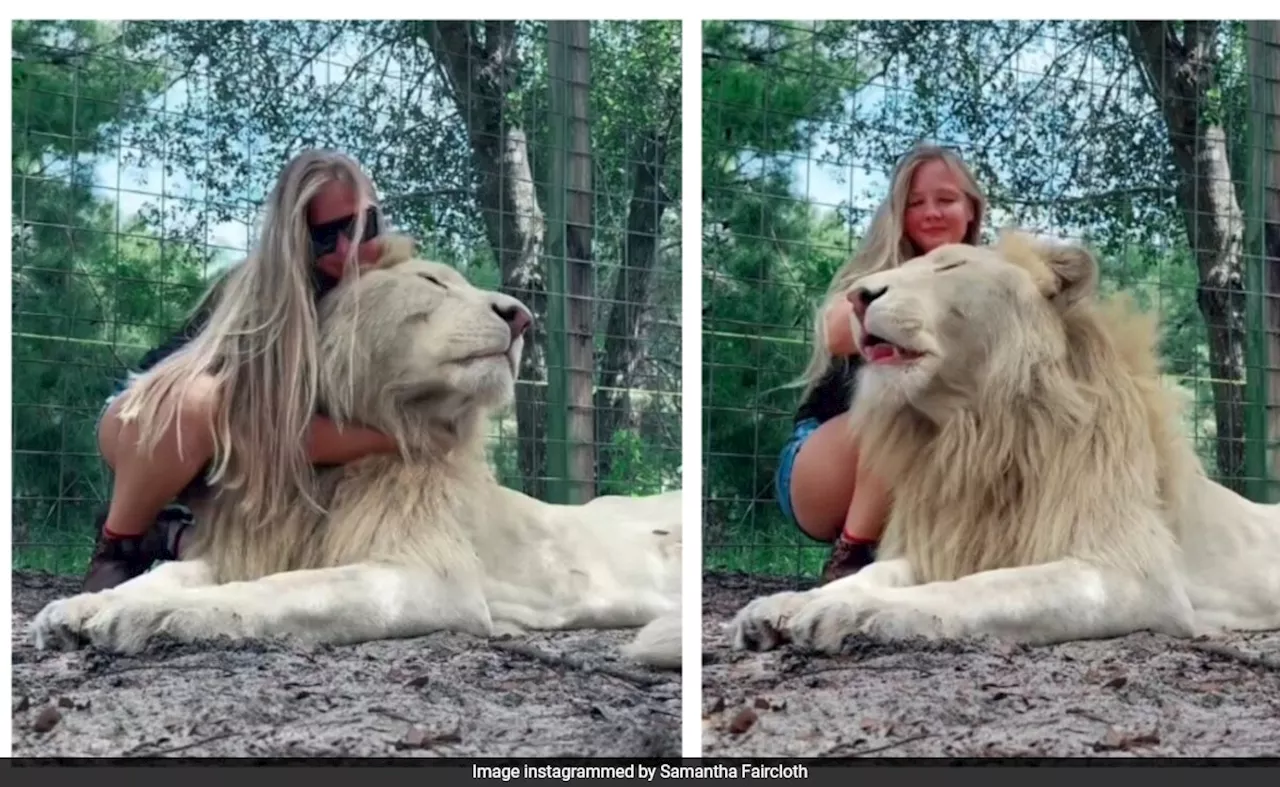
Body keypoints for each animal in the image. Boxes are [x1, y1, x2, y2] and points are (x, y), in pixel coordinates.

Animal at [30, 235, 686, 670]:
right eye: (433, 283)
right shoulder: (248, 545)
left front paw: (145, 620)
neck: (326, 473)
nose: (521, 316)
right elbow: (170, 571)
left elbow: (283, 590)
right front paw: (79, 608)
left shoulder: (430, 579)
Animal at [732, 230, 1280, 655]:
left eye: (950, 265)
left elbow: (983, 588)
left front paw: (852, 612)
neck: (976, 432)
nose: (857, 297)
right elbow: (874, 573)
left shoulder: (1132, 575)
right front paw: (788, 605)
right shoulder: (944, 542)